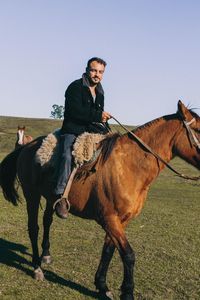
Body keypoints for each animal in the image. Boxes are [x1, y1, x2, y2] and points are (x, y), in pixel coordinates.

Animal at [0, 101, 200, 300]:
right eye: (198, 129)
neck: (129, 166)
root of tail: (27, 147)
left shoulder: (121, 221)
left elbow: (108, 251)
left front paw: (102, 285)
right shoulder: (109, 219)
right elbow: (128, 255)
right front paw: (127, 292)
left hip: (50, 197)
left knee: (47, 221)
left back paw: (46, 255)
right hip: (31, 194)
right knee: (33, 228)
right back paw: (37, 268)